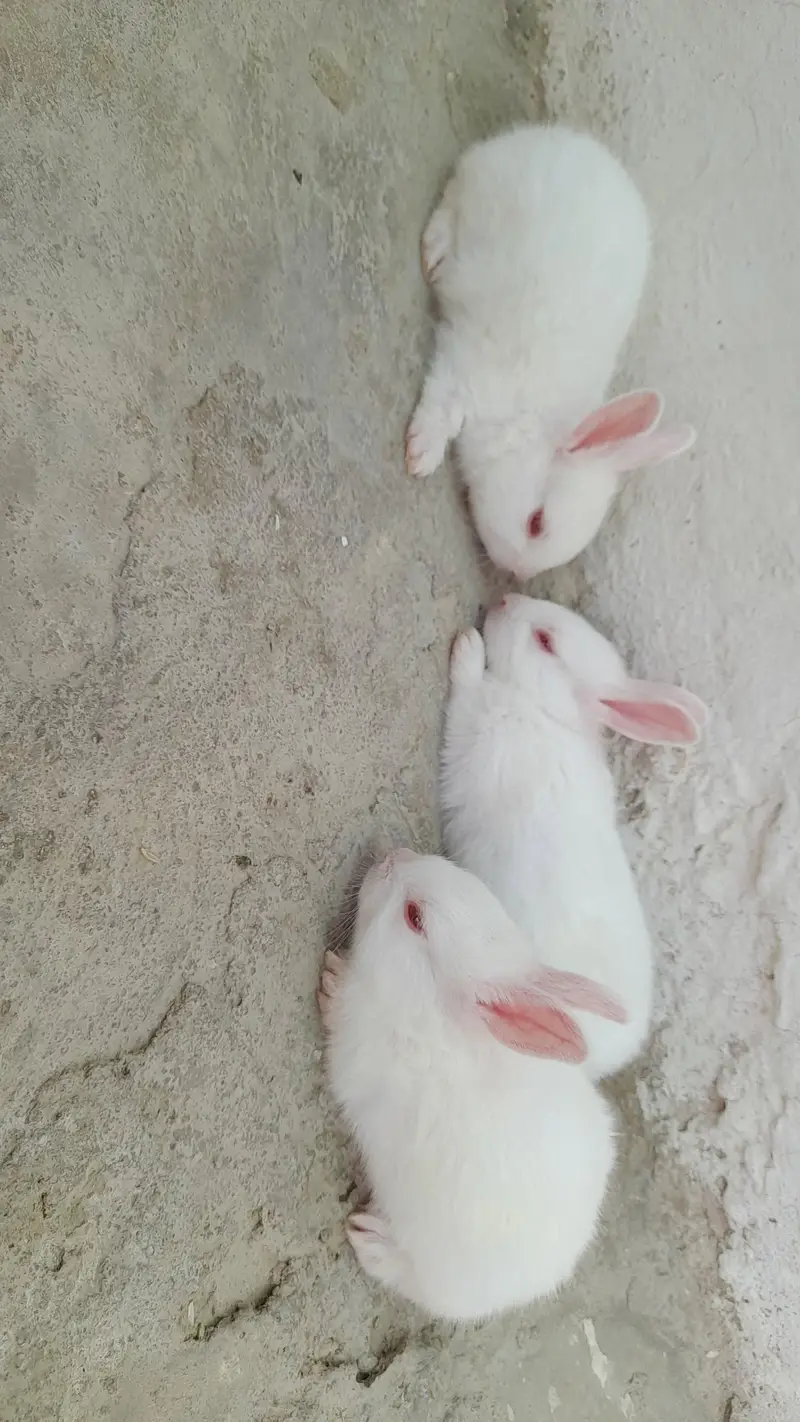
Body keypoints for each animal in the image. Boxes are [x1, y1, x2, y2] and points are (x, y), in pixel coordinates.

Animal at [405, 123, 695, 577]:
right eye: (535, 523)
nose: (516, 573)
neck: (529, 421)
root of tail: (571, 139)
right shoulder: (467, 373)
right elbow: (441, 409)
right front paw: (420, 456)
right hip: (484, 187)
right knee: (455, 186)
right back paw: (435, 251)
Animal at [440, 597, 708, 1080]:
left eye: (545, 641)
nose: (504, 601)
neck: (547, 711)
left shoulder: (479, 720)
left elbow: (466, 688)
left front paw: (468, 648)